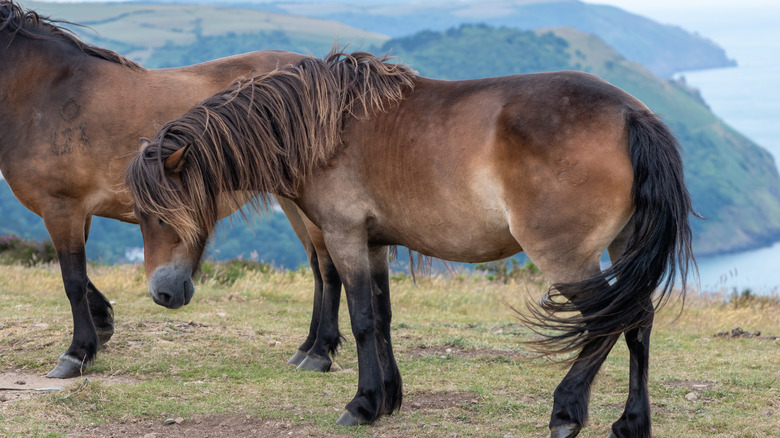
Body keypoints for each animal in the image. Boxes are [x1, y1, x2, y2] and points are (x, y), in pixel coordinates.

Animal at [0, 0, 342, 378]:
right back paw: (306, 347)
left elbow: (72, 279)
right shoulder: (77, 212)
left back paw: (319, 352)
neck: (48, 93)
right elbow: (81, 276)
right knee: (317, 266)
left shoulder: (61, 208)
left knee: (328, 267)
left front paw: (76, 354)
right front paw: (102, 326)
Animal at [126, 50, 696, 438]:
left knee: (609, 321)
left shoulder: (345, 238)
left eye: (160, 213)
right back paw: (630, 422)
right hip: (622, 248)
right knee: (637, 320)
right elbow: (382, 316)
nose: (163, 293)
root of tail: (632, 115)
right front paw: (389, 398)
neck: (322, 126)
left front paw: (362, 404)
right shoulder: (375, 243)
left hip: (566, 257)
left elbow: (360, 319)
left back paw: (566, 412)